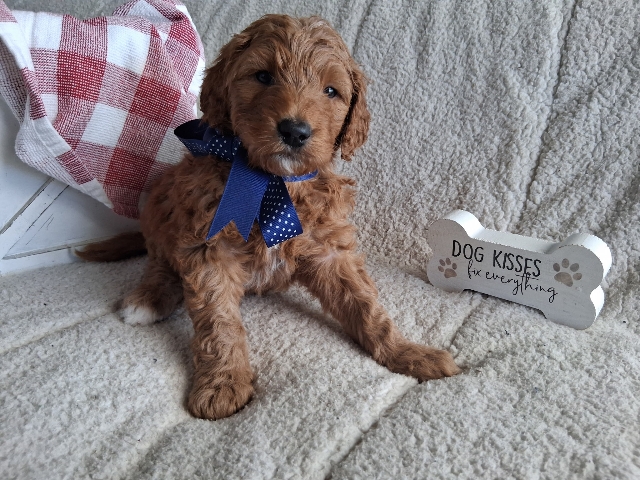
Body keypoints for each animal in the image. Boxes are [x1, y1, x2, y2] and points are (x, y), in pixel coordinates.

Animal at [78, 14, 460, 420]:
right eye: (262, 77)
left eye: (331, 91)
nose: (294, 130)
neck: (274, 182)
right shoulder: (209, 249)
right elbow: (219, 322)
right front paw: (223, 383)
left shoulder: (329, 251)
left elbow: (367, 309)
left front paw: (409, 353)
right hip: (161, 207)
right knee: (160, 262)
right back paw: (148, 298)